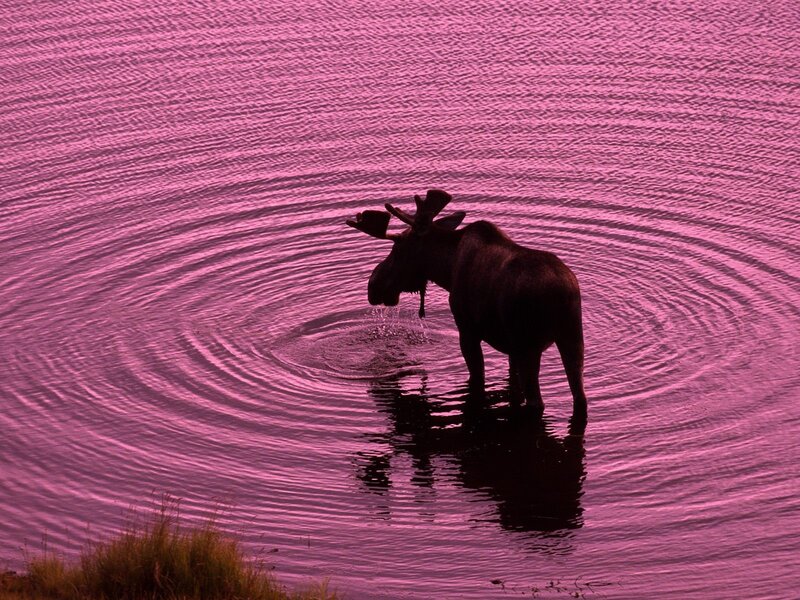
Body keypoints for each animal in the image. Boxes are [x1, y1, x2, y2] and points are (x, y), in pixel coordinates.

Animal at [347, 189, 587, 424]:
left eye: (397, 248)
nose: (373, 285)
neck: (446, 268)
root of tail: (563, 293)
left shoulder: (468, 331)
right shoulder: (511, 347)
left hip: (529, 345)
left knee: (537, 402)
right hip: (572, 339)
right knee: (580, 397)